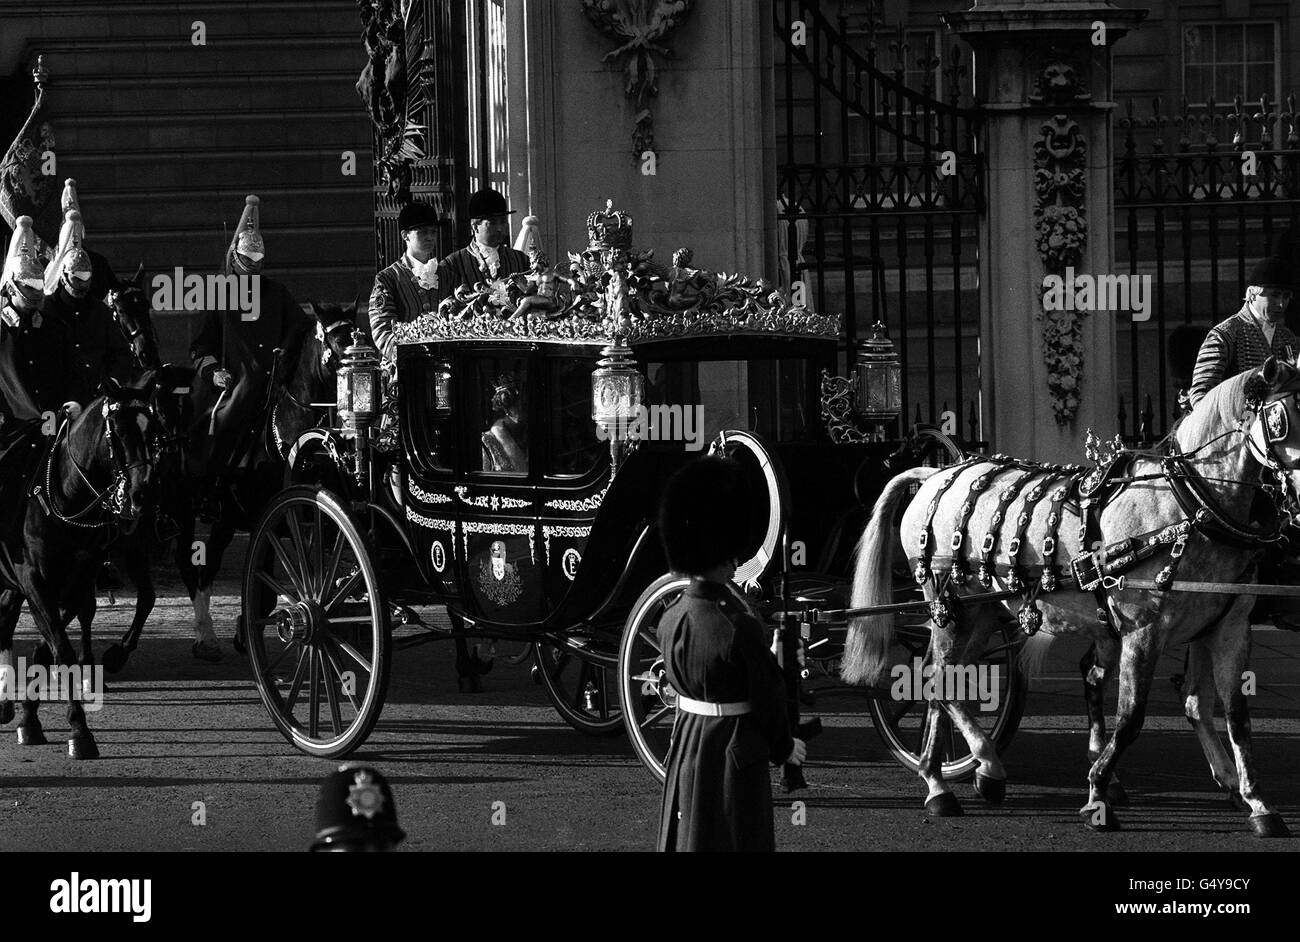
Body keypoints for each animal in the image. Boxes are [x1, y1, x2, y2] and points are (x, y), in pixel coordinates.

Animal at [847, 361, 1294, 836]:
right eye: (1281, 420)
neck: (1188, 506)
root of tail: (934, 475)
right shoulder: (1144, 630)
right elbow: (1131, 718)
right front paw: (1097, 792)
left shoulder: (1228, 628)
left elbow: (1235, 715)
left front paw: (1257, 802)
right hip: (949, 606)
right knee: (935, 678)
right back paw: (947, 780)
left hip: (982, 611)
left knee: (950, 680)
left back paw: (968, 771)